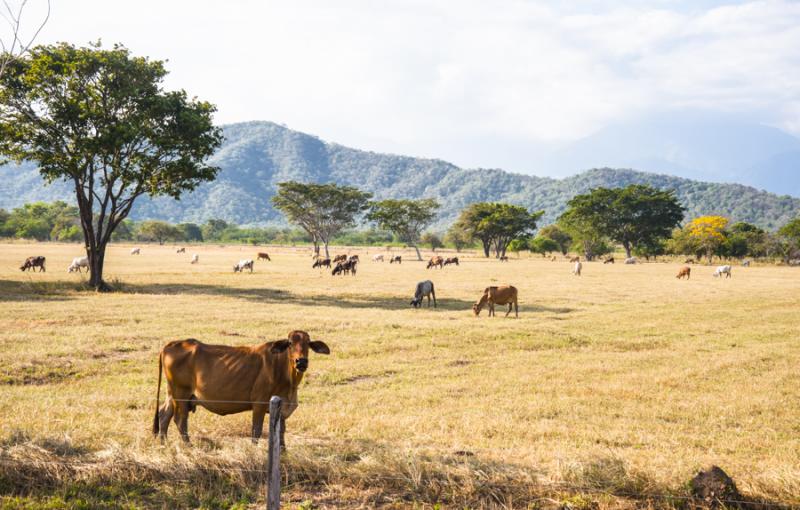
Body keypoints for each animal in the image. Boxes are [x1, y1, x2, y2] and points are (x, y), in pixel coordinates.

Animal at [153, 330, 332, 446]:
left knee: (164, 415)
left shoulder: (281, 409)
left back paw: (164, 444)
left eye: (308, 343)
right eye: (289, 343)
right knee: (180, 420)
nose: (301, 361)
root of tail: (173, 344)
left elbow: (280, 433)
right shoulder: (259, 405)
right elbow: (256, 432)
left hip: (172, 394)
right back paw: (188, 446)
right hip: (181, 394)